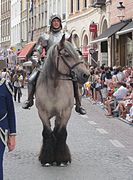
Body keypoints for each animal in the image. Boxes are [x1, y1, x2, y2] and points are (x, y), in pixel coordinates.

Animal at [35, 33, 89, 166]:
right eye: (66, 54)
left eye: (77, 52)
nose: (86, 75)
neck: (54, 86)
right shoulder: (42, 113)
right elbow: (47, 133)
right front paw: (46, 159)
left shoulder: (65, 112)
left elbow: (62, 133)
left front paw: (62, 159)